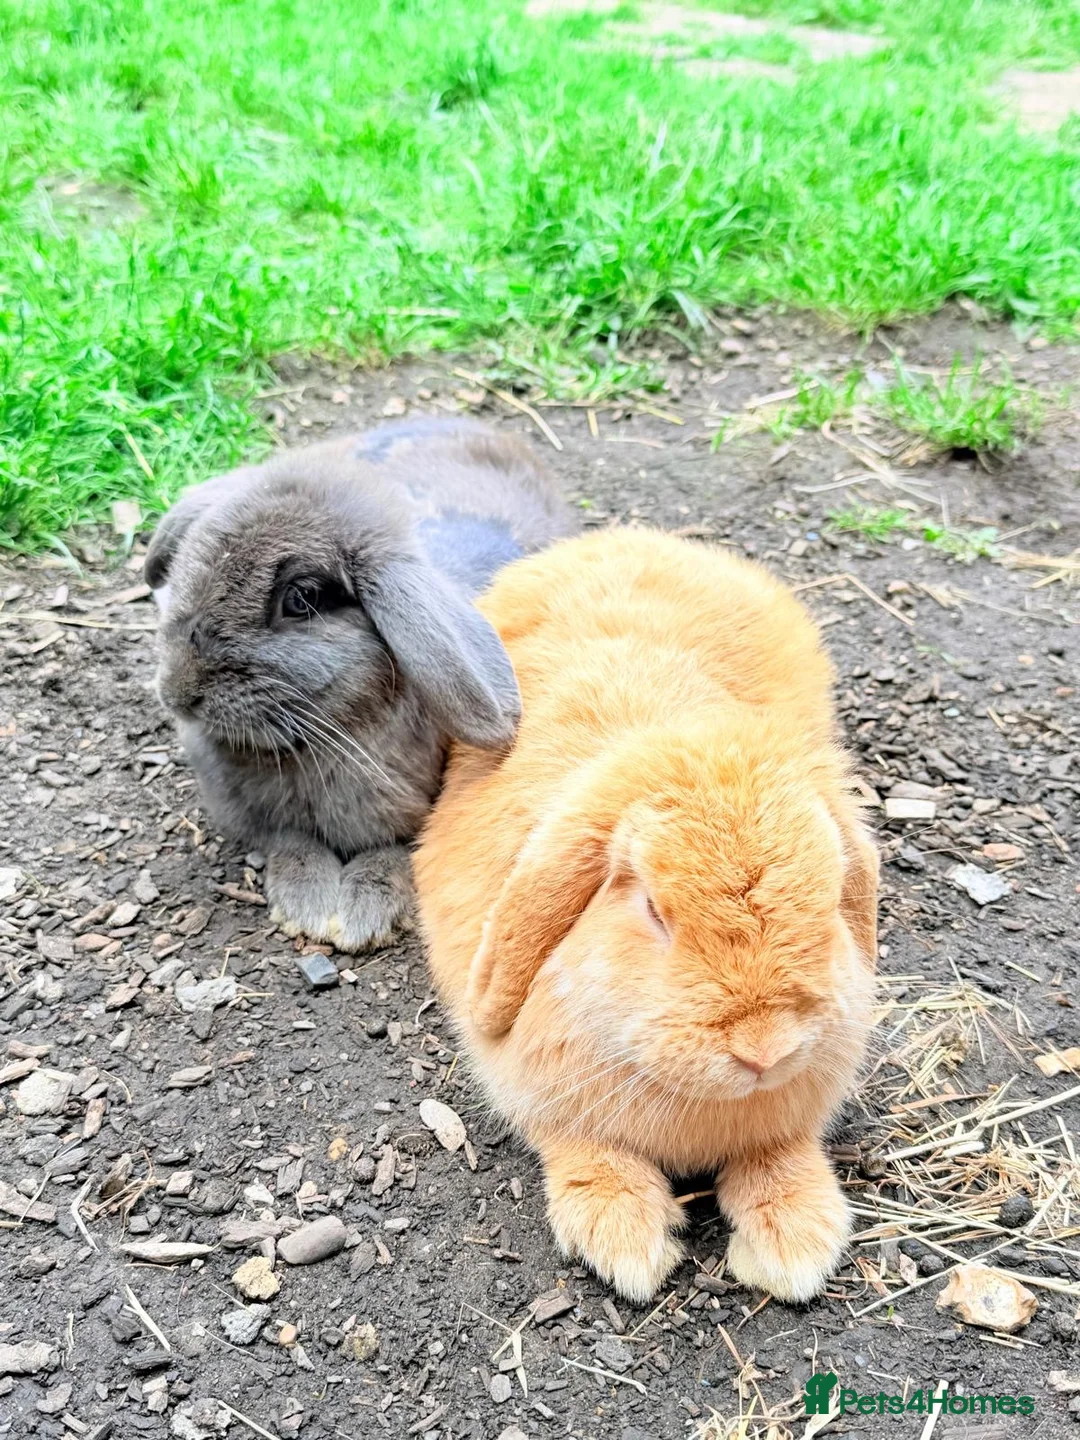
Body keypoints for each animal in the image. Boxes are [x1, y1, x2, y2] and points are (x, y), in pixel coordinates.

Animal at [145, 417, 575, 953]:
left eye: (302, 599)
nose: (180, 694)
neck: (319, 739)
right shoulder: (270, 824)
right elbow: (293, 843)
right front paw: (307, 905)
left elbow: (393, 852)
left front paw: (361, 917)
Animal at [413, 529, 879, 1304]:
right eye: (655, 912)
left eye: (830, 895)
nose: (765, 1050)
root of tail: (628, 537)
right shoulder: (553, 1105)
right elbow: (589, 1155)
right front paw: (626, 1243)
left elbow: (781, 1155)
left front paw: (795, 1244)